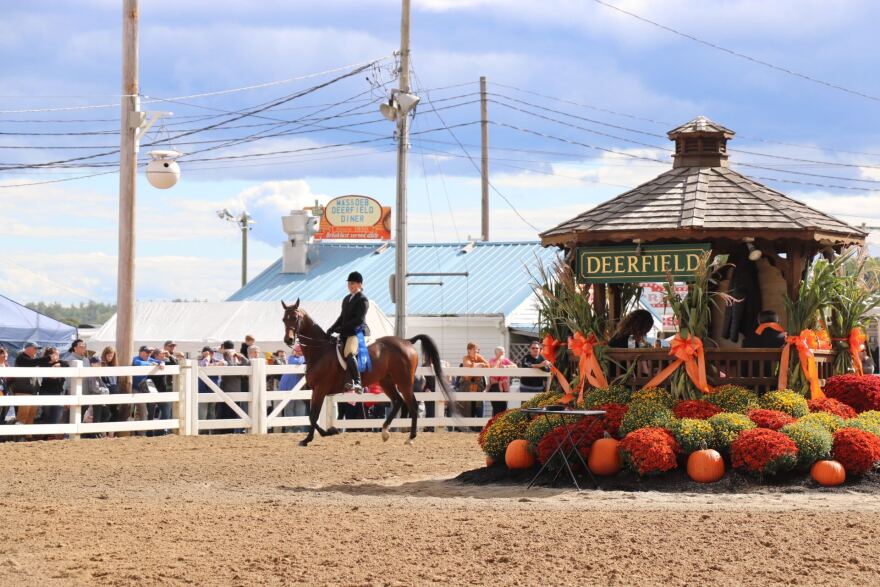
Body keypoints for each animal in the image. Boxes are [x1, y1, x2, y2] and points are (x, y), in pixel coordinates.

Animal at [282, 300, 458, 448]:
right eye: (284, 319)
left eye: (295, 318)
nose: (288, 340)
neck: (320, 351)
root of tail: (407, 341)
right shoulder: (315, 390)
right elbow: (311, 416)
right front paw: (326, 432)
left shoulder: (320, 389)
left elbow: (313, 415)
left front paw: (311, 438)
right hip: (386, 381)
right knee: (398, 401)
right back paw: (385, 432)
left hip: (404, 382)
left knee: (412, 405)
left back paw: (411, 437)